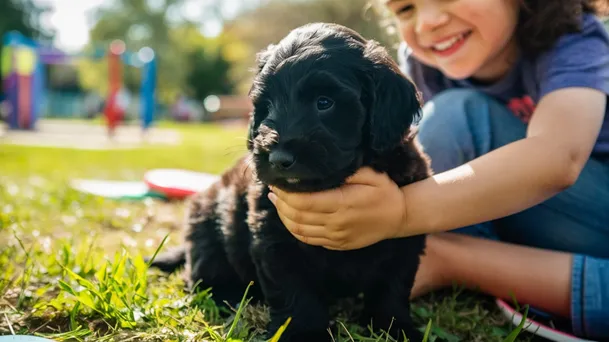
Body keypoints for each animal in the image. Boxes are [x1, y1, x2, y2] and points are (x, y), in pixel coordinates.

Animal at [149, 22, 430, 340]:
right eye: (268, 105)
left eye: (324, 103)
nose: (278, 158)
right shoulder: (274, 234)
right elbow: (294, 290)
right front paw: (302, 332)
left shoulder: (403, 235)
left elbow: (392, 286)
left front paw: (396, 327)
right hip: (207, 227)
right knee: (201, 277)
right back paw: (232, 297)